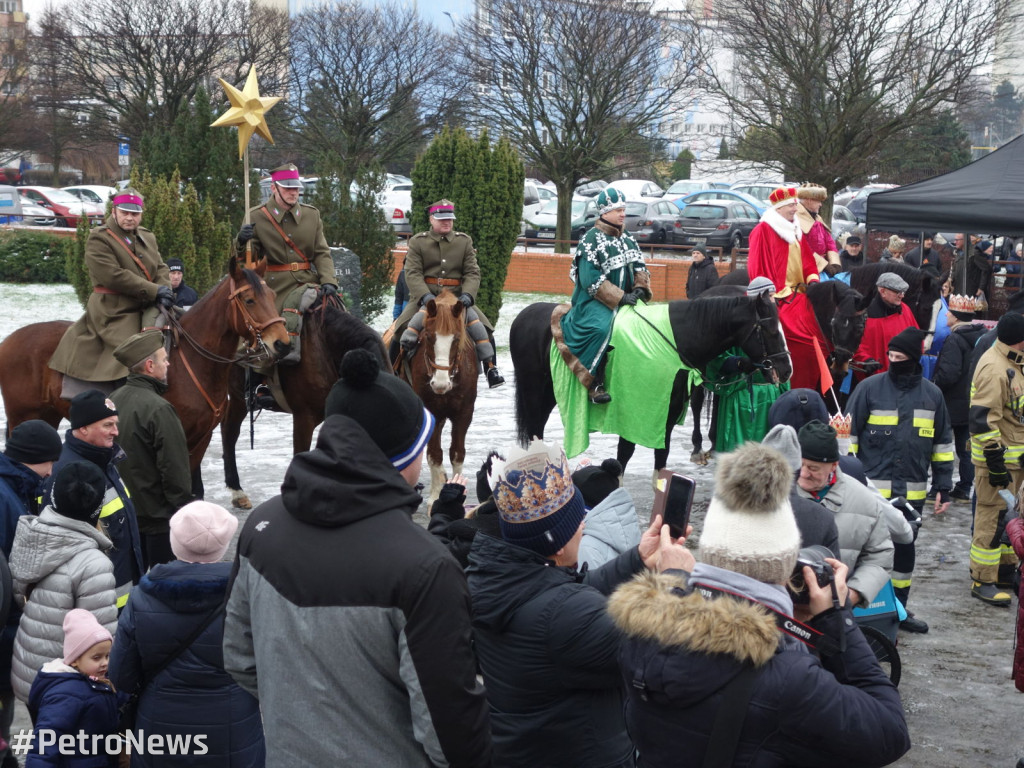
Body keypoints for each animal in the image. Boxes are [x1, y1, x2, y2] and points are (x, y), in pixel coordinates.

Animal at [1, 257, 288, 475]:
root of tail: (10, 340)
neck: (193, 360)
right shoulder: (176, 437)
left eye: (273, 295)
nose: (282, 343)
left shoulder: (201, 439)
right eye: (249, 300)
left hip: (46, 416)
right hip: (23, 416)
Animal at [399, 290, 479, 501]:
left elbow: (457, 453)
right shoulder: (431, 410)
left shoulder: (464, 413)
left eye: (457, 339)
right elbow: (434, 453)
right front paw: (436, 495)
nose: (440, 384)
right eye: (428, 337)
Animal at [509, 290, 790, 475]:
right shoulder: (634, 416)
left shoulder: (666, 417)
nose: (786, 370)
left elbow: (661, 459)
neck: (674, 341)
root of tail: (525, 315)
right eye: (770, 330)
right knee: (534, 432)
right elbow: (623, 456)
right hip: (534, 393)